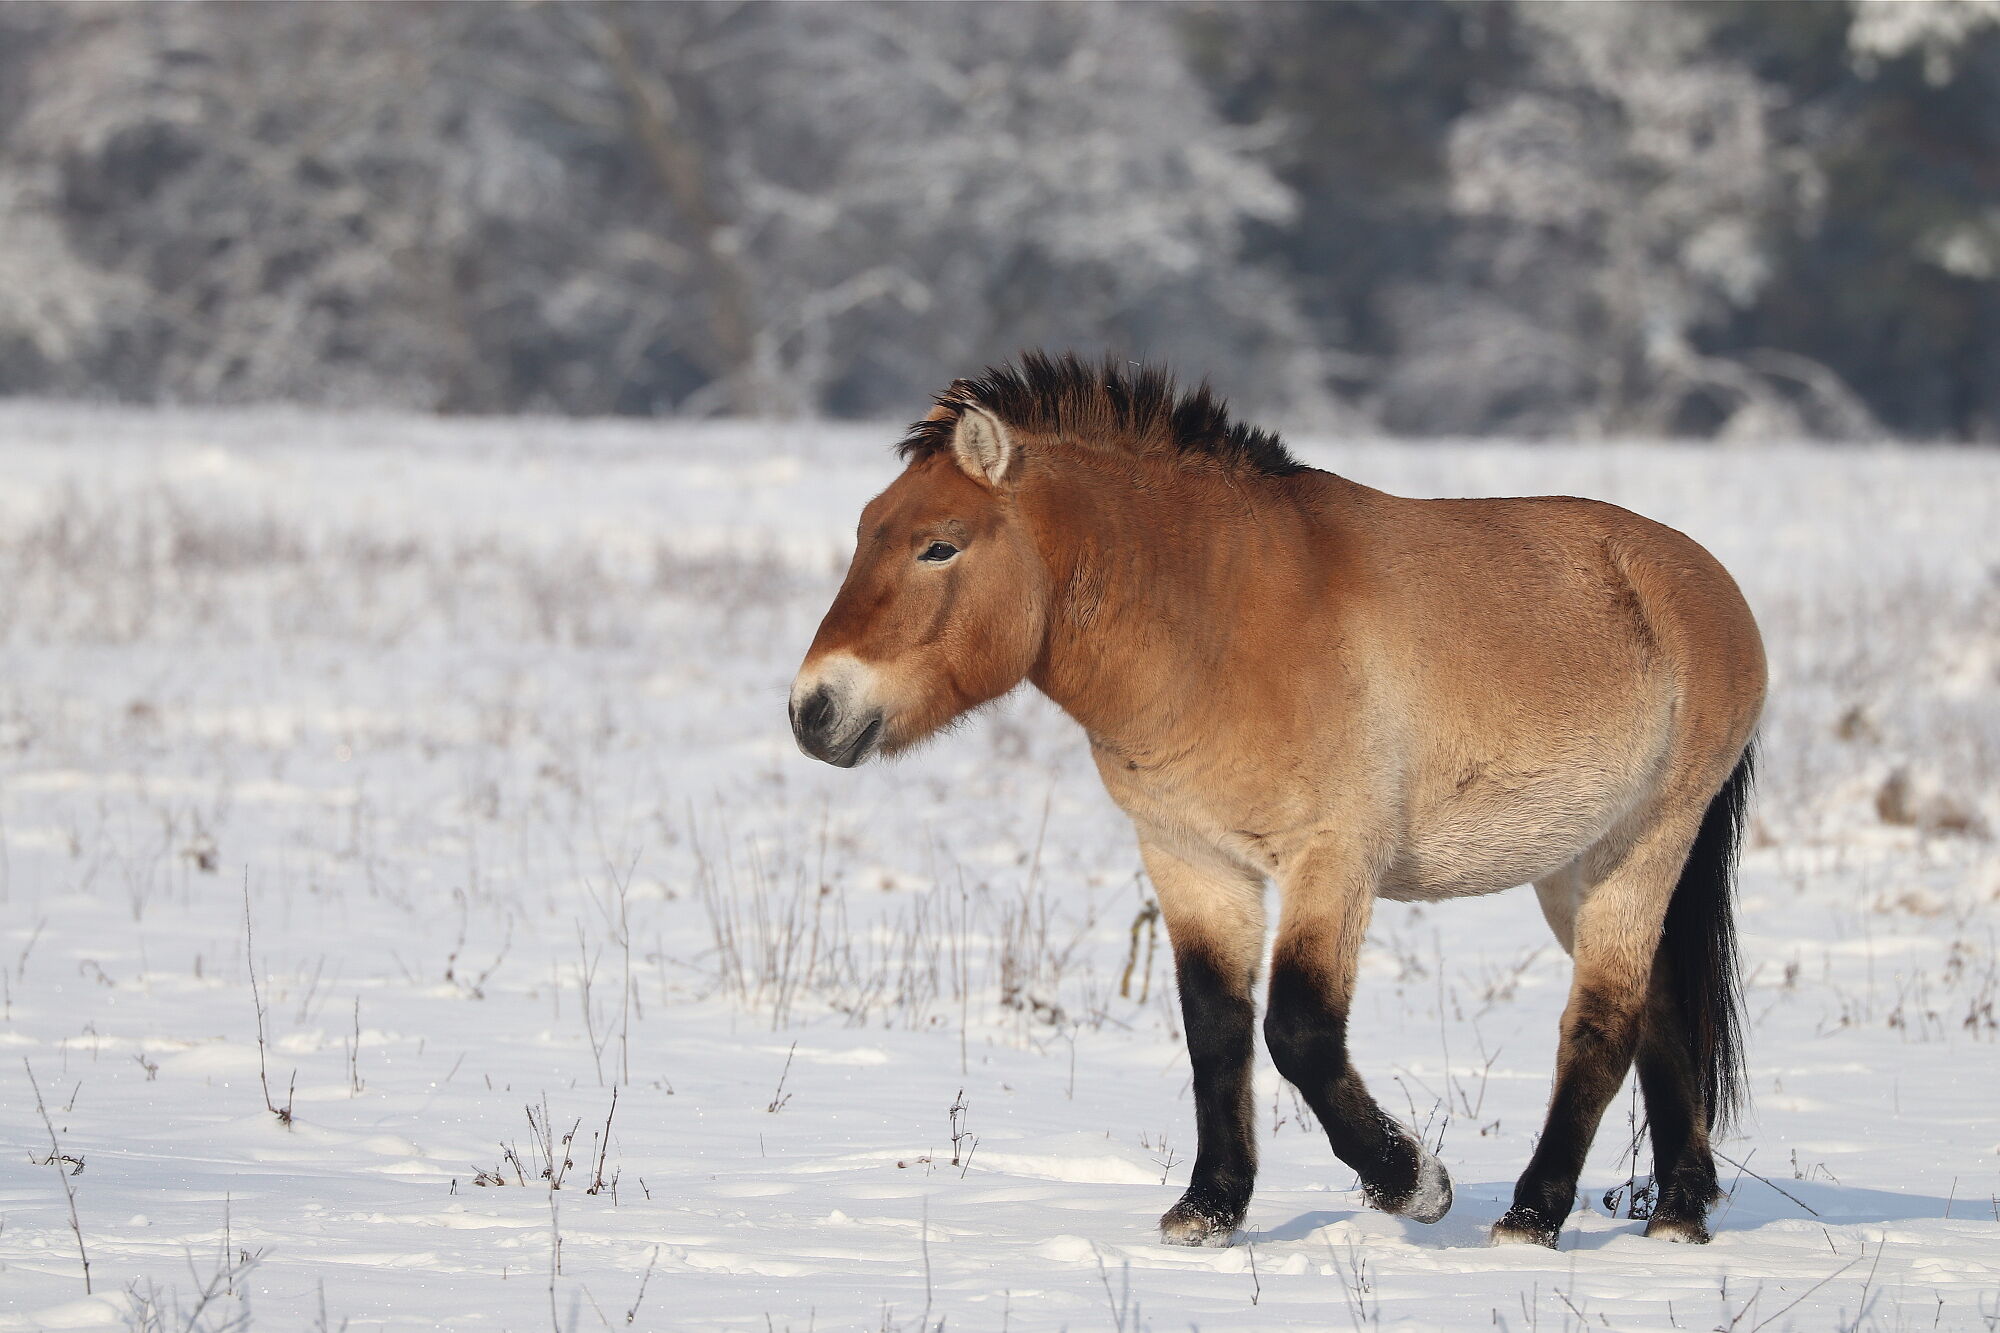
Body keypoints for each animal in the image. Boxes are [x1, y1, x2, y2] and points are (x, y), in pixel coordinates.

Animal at [788, 352, 1760, 1248]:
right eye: (869, 532)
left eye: (940, 545)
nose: (813, 710)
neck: (1214, 623)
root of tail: (1707, 583)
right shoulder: (1192, 860)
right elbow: (1216, 1028)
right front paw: (1209, 1207)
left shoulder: (1333, 859)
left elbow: (1298, 1032)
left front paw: (1414, 1183)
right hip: (1569, 870)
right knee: (1660, 1010)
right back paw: (1678, 1210)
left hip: (1643, 844)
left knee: (1603, 1022)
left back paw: (1534, 1214)